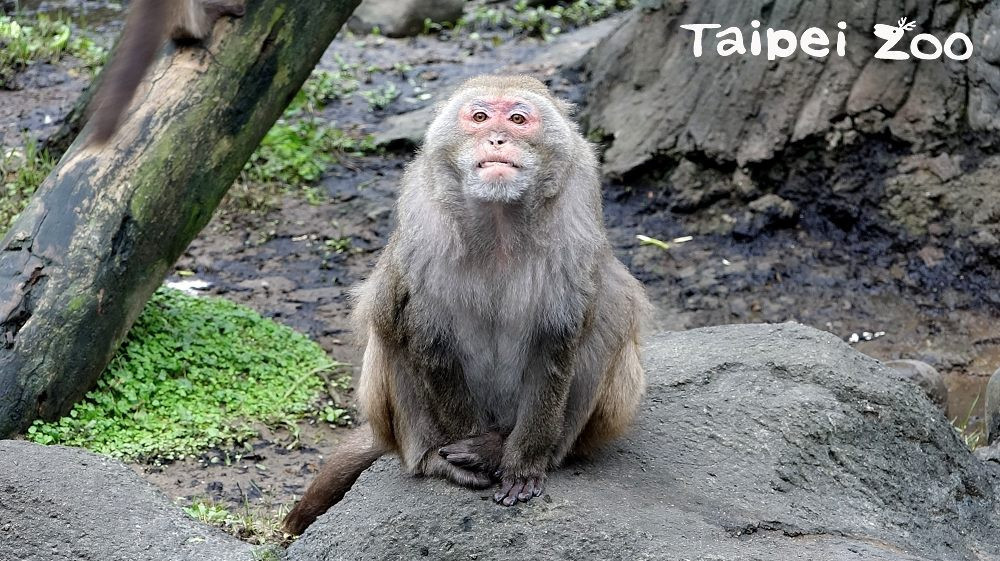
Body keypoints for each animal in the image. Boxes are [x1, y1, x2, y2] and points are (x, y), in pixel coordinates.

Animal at [286, 74, 652, 532]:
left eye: (518, 120)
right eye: (479, 117)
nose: (496, 138)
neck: (499, 218)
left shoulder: (576, 217)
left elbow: (559, 340)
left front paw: (520, 461)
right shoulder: (422, 221)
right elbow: (424, 332)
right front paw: (469, 450)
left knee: (609, 316)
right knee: (389, 322)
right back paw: (433, 458)